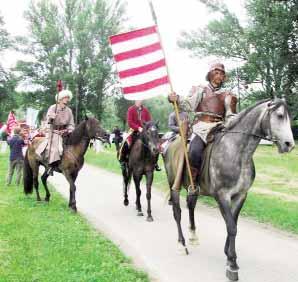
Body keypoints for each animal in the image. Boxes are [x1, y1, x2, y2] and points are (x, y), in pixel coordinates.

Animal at [164, 98, 294, 280]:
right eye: (280, 115)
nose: (289, 144)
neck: (238, 152)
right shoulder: (222, 196)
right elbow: (231, 226)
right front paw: (232, 264)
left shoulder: (240, 195)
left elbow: (233, 223)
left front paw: (228, 254)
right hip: (172, 183)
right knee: (177, 212)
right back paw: (182, 244)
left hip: (193, 189)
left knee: (191, 206)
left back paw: (193, 236)